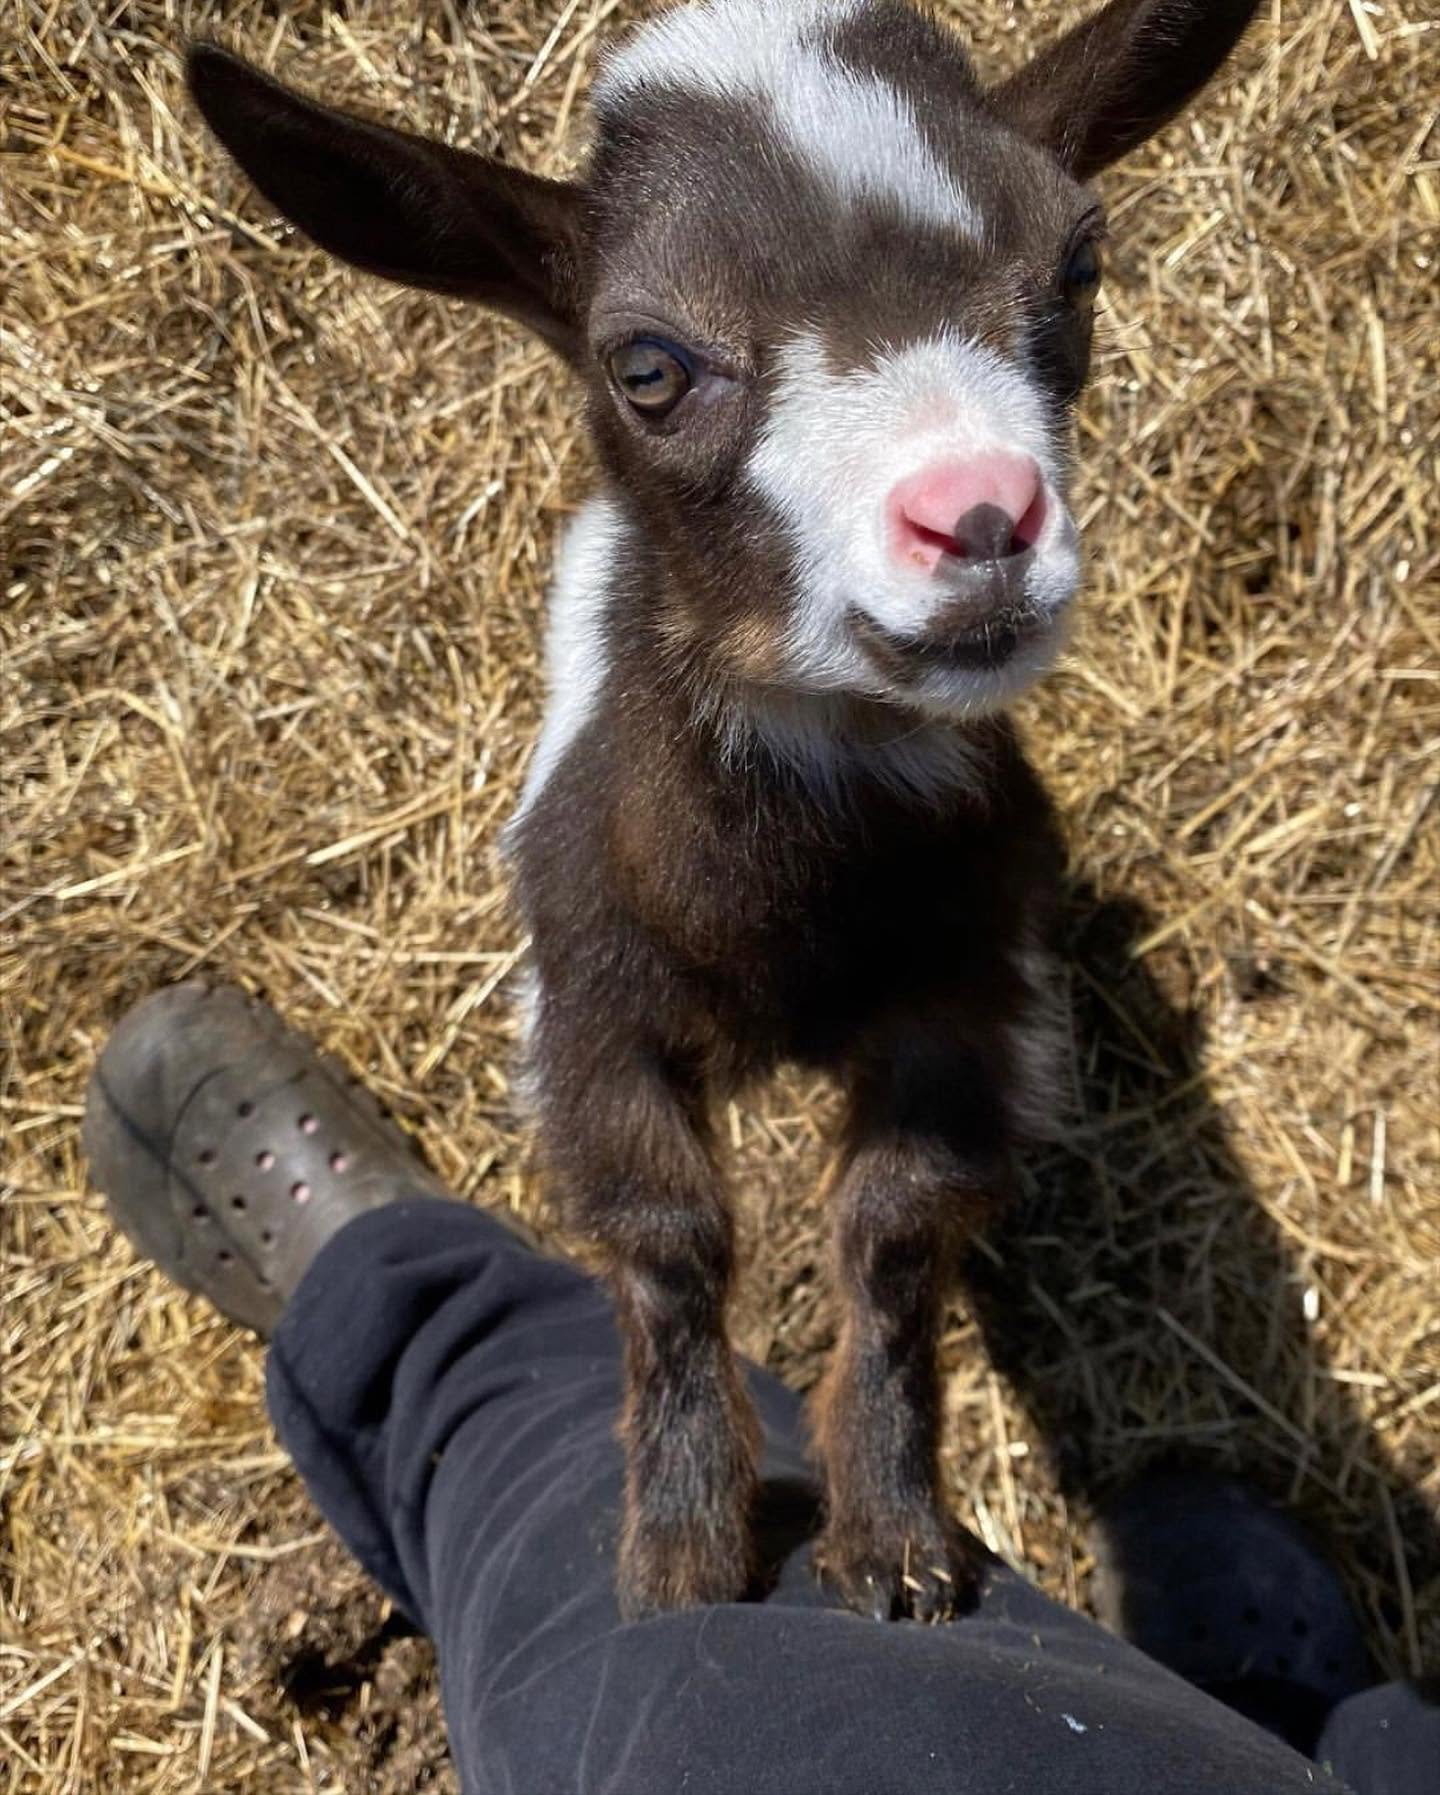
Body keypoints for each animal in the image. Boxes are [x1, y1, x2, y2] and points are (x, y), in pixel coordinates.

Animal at [189, 0, 1263, 1621]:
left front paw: (893, 1538)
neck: (787, 933)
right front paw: (686, 1545)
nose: (980, 515)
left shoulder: (966, 987)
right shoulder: (585, 1003)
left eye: (1078, 264)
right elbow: (665, 1233)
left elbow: (895, 1228)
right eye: (646, 362)